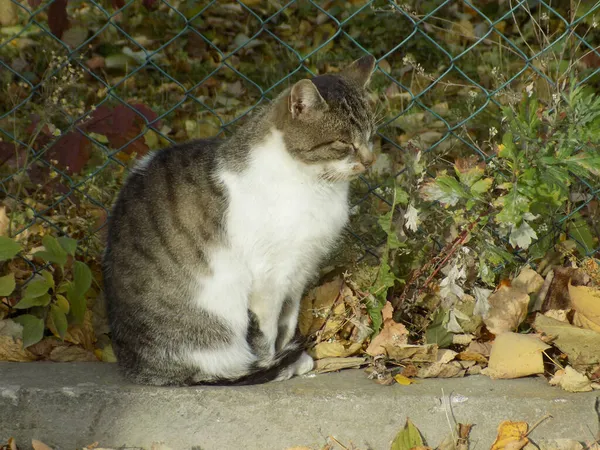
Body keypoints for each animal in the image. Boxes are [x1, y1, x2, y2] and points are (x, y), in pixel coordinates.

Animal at [102, 55, 376, 386]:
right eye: (343, 142)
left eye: (370, 134)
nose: (370, 160)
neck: (315, 185)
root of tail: (139, 368)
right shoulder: (268, 279)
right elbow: (267, 335)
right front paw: (278, 365)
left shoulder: (298, 274)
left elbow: (287, 324)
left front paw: (287, 356)